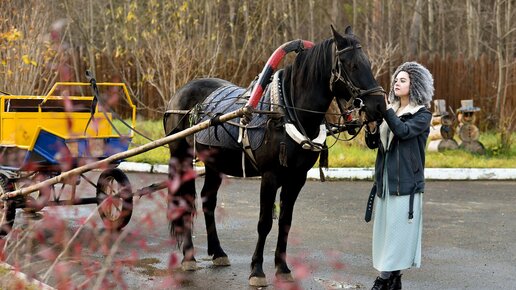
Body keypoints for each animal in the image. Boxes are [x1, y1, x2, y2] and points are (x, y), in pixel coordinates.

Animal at [163, 26, 384, 286]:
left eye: (367, 62)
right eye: (351, 65)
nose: (379, 106)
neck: (286, 112)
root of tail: (178, 94)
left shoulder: (296, 178)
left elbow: (286, 222)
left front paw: (283, 267)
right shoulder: (269, 177)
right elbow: (265, 223)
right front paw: (257, 270)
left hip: (214, 164)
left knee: (208, 200)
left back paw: (218, 252)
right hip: (181, 157)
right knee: (185, 202)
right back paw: (188, 256)